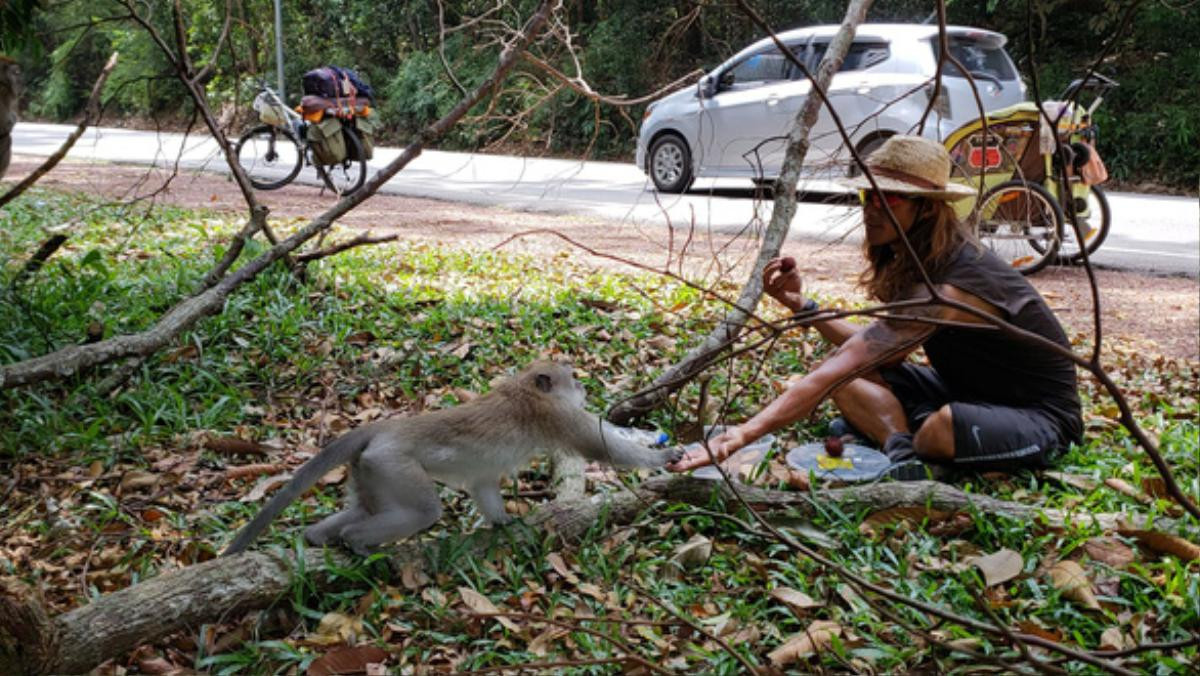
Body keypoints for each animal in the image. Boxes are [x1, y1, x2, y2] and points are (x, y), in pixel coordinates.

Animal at [223, 362, 676, 557]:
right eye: (574, 379)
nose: (583, 389)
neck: (525, 389)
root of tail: (382, 430)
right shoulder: (557, 416)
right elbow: (602, 448)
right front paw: (664, 454)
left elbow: (483, 484)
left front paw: (503, 522)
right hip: (394, 466)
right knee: (422, 511)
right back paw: (356, 542)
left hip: (369, 470)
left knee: (365, 507)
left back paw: (319, 538)